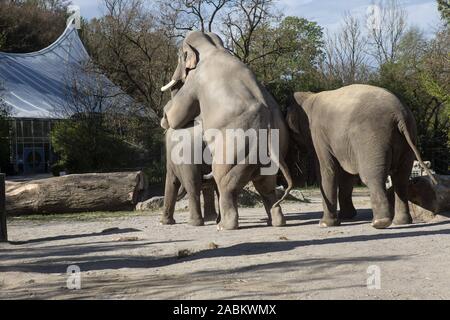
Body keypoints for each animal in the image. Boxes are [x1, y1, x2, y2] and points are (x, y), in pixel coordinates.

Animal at [160, 31, 294, 230]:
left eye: (179, 56)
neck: (213, 47)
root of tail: (269, 126)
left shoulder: (194, 82)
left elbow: (176, 116)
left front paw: (166, 119)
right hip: (271, 152)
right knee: (267, 187)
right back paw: (277, 222)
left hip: (235, 149)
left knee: (225, 184)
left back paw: (224, 226)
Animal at [286, 84, 438, 230]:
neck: (310, 96)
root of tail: (399, 114)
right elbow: (347, 175)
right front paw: (347, 217)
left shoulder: (318, 134)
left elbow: (327, 171)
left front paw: (324, 224)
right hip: (408, 138)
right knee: (401, 178)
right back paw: (401, 222)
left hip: (372, 139)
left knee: (372, 177)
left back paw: (380, 223)